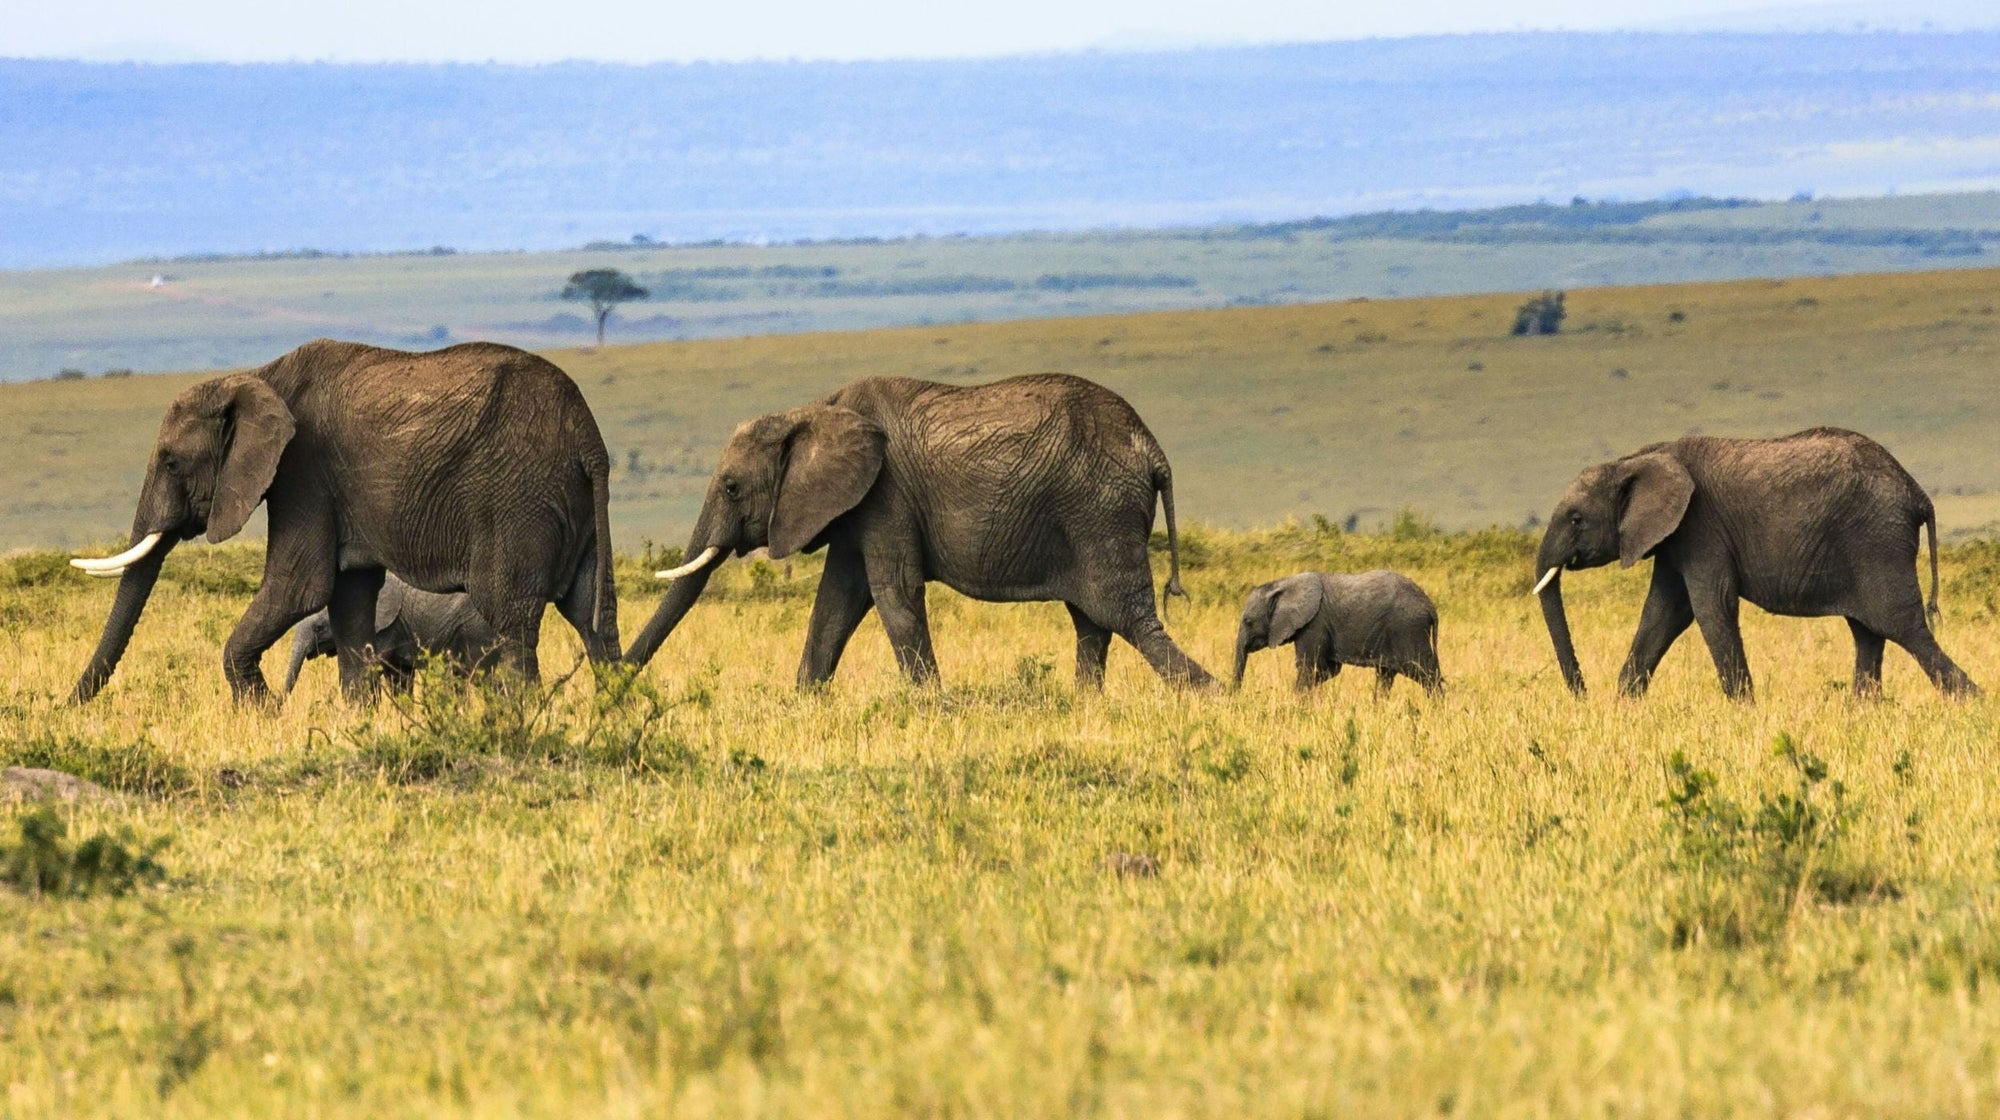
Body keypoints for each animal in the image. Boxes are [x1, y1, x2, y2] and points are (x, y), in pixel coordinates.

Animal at [624, 373, 1214, 689]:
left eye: (730, 487)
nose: (614, 679)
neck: (814, 409)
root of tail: (1153, 450)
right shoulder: (857, 505)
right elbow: (837, 600)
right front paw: (803, 702)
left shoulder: (887, 494)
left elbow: (894, 592)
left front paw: (934, 706)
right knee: (1093, 623)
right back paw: (1083, 705)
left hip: (1099, 511)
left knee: (1126, 617)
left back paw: (1212, 698)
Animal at [1233, 571, 1443, 696]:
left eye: (1248, 622)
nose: (1236, 696)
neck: (1283, 584)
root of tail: (1430, 607)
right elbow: (1328, 670)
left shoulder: (1314, 625)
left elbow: (1308, 667)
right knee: (1386, 676)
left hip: (1408, 629)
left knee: (1425, 673)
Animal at [1533, 426, 1978, 701]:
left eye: (1576, 519)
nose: (1582, 694)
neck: (1637, 459)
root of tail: (1917, 493)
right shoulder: (1675, 537)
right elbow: (1663, 613)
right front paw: (1624, 704)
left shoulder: (1701, 526)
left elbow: (1710, 607)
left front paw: (1744, 709)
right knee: (1868, 632)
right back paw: (1863, 712)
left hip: (1877, 542)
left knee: (1901, 625)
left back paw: (1972, 702)